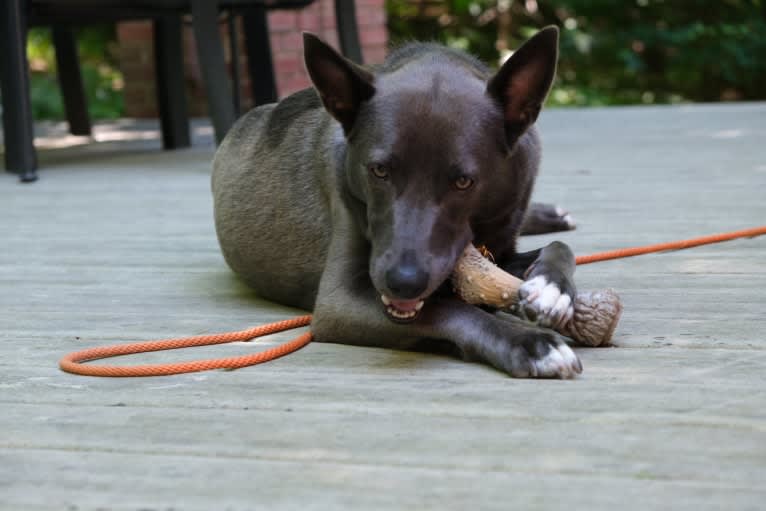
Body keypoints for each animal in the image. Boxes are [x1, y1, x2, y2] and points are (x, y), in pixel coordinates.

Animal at [210, 28, 584, 380]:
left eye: (463, 181)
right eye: (379, 171)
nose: (403, 282)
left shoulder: (499, 251)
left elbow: (561, 247)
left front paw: (552, 287)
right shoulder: (338, 302)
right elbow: (449, 309)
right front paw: (530, 344)